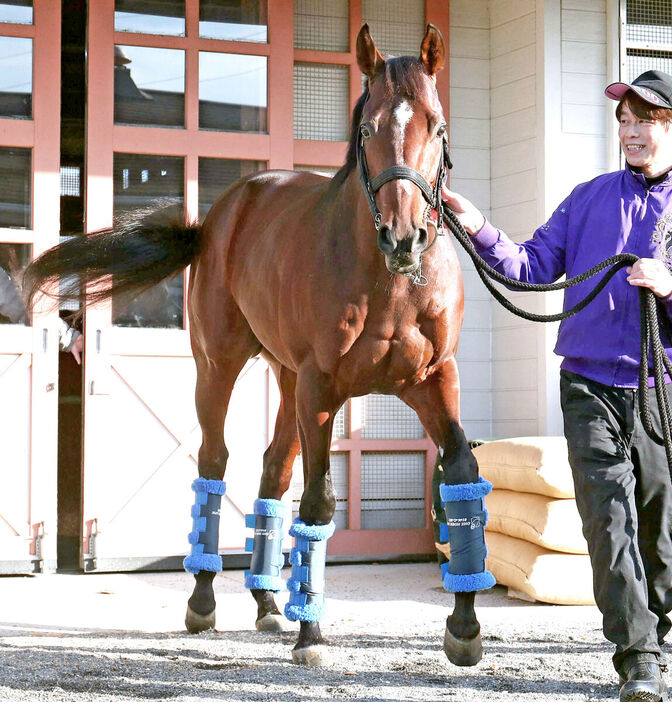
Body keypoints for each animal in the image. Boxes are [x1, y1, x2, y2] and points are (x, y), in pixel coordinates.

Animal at [26, 23, 486, 672]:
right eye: (368, 128)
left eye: (437, 127)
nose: (404, 237)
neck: (390, 281)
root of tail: (217, 217)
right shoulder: (323, 388)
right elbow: (318, 503)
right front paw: (312, 633)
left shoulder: (432, 380)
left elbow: (461, 471)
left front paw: (465, 625)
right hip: (222, 369)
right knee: (215, 463)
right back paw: (204, 603)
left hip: (289, 381)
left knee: (273, 470)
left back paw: (269, 603)